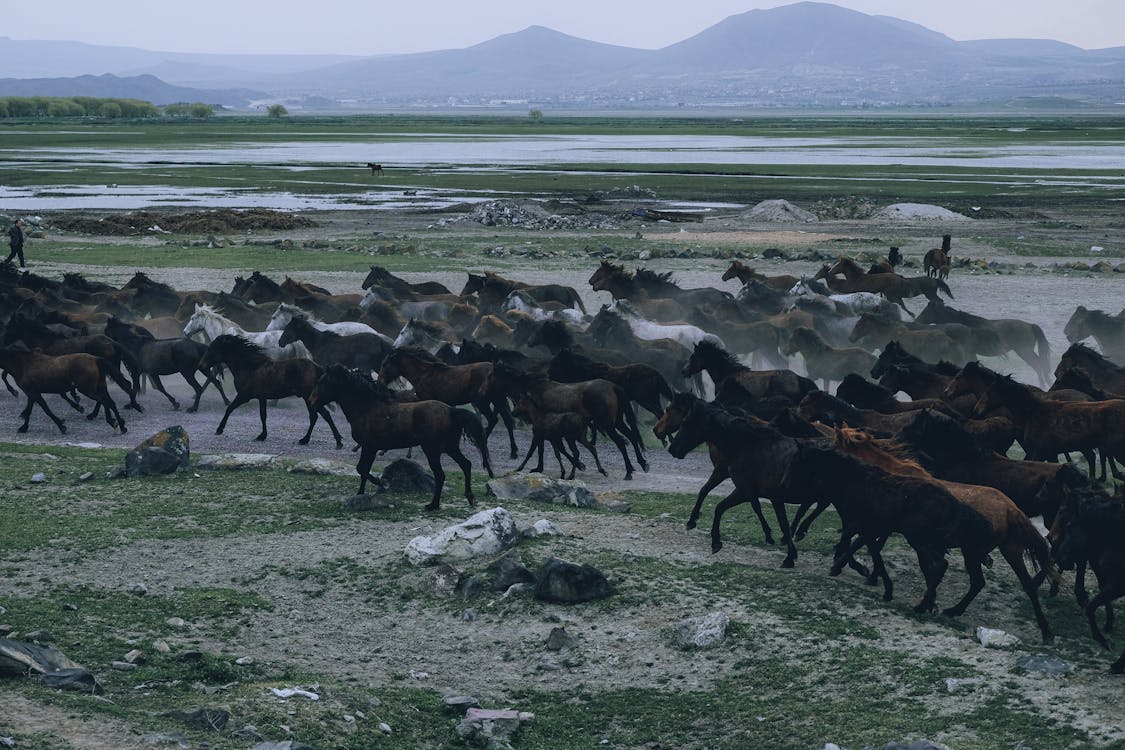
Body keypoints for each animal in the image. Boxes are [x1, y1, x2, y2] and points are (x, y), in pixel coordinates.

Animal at [198, 337, 344, 449]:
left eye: (211, 349)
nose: (201, 365)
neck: (249, 366)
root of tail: (317, 368)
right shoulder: (261, 398)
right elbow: (263, 416)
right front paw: (262, 436)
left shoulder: (244, 396)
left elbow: (229, 408)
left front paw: (219, 429)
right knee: (317, 416)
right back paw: (311, 440)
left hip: (309, 398)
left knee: (321, 415)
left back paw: (333, 441)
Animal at [308, 364, 492, 510]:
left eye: (322, 382)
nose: (311, 401)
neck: (366, 409)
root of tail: (452, 411)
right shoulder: (369, 448)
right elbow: (362, 470)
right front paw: (361, 493)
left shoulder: (369, 447)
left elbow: (362, 469)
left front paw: (382, 484)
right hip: (450, 447)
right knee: (466, 465)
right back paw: (470, 498)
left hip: (432, 450)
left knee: (441, 475)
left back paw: (433, 505)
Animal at [378, 344, 517, 458]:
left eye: (385, 364)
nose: (380, 381)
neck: (424, 374)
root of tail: (498, 369)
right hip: (498, 400)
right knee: (507, 421)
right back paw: (513, 452)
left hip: (483, 402)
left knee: (494, 420)